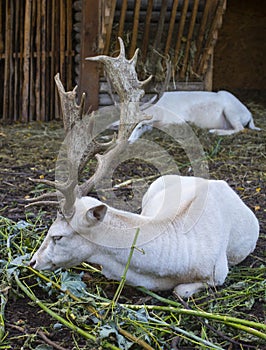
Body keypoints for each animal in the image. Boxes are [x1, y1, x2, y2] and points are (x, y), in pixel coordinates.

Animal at [128, 91, 260, 144]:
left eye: (140, 126)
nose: (128, 141)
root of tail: (249, 113)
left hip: (231, 113)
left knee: (240, 129)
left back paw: (214, 131)